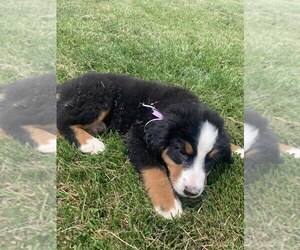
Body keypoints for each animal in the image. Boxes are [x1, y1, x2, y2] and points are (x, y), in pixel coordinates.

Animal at [56, 72, 234, 219]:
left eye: (211, 160)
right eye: (181, 152)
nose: (191, 192)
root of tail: (64, 86)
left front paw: (236, 148)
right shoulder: (137, 137)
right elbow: (155, 170)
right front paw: (169, 205)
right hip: (99, 94)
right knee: (61, 119)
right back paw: (90, 143)